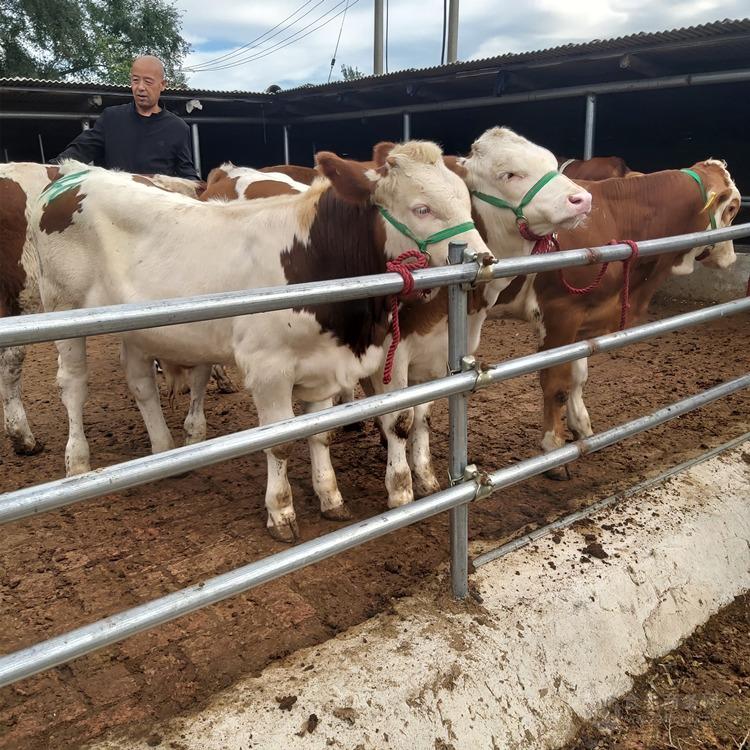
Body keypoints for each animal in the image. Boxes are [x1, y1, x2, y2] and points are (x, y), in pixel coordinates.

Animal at [27, 141, 494, 540]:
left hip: (139, 328)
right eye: (422, 208)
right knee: (73, 384)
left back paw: (164, 452)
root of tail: (77, 173)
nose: (485, 259)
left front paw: (330, 497)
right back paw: (78, 462)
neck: (315, 262)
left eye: (465, 200)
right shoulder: (268, 369)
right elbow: (281, 442)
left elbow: (320, 435)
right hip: (63, 308)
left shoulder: (323, 364)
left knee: (141, 383)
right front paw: (282, 512)